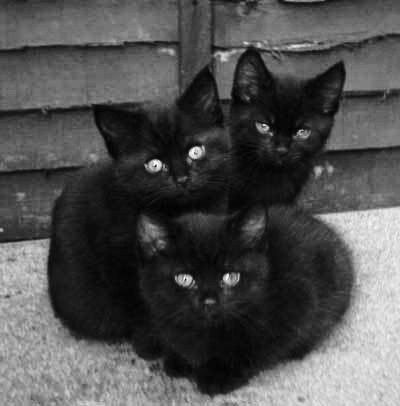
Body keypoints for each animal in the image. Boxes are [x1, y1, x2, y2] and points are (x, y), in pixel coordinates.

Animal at [137, 206, 354, 394]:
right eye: (184, 279)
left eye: (231, 277)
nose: (209, 301)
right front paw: (179, 360)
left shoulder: (299, 303)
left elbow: (258, 350)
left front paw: (220, 375)